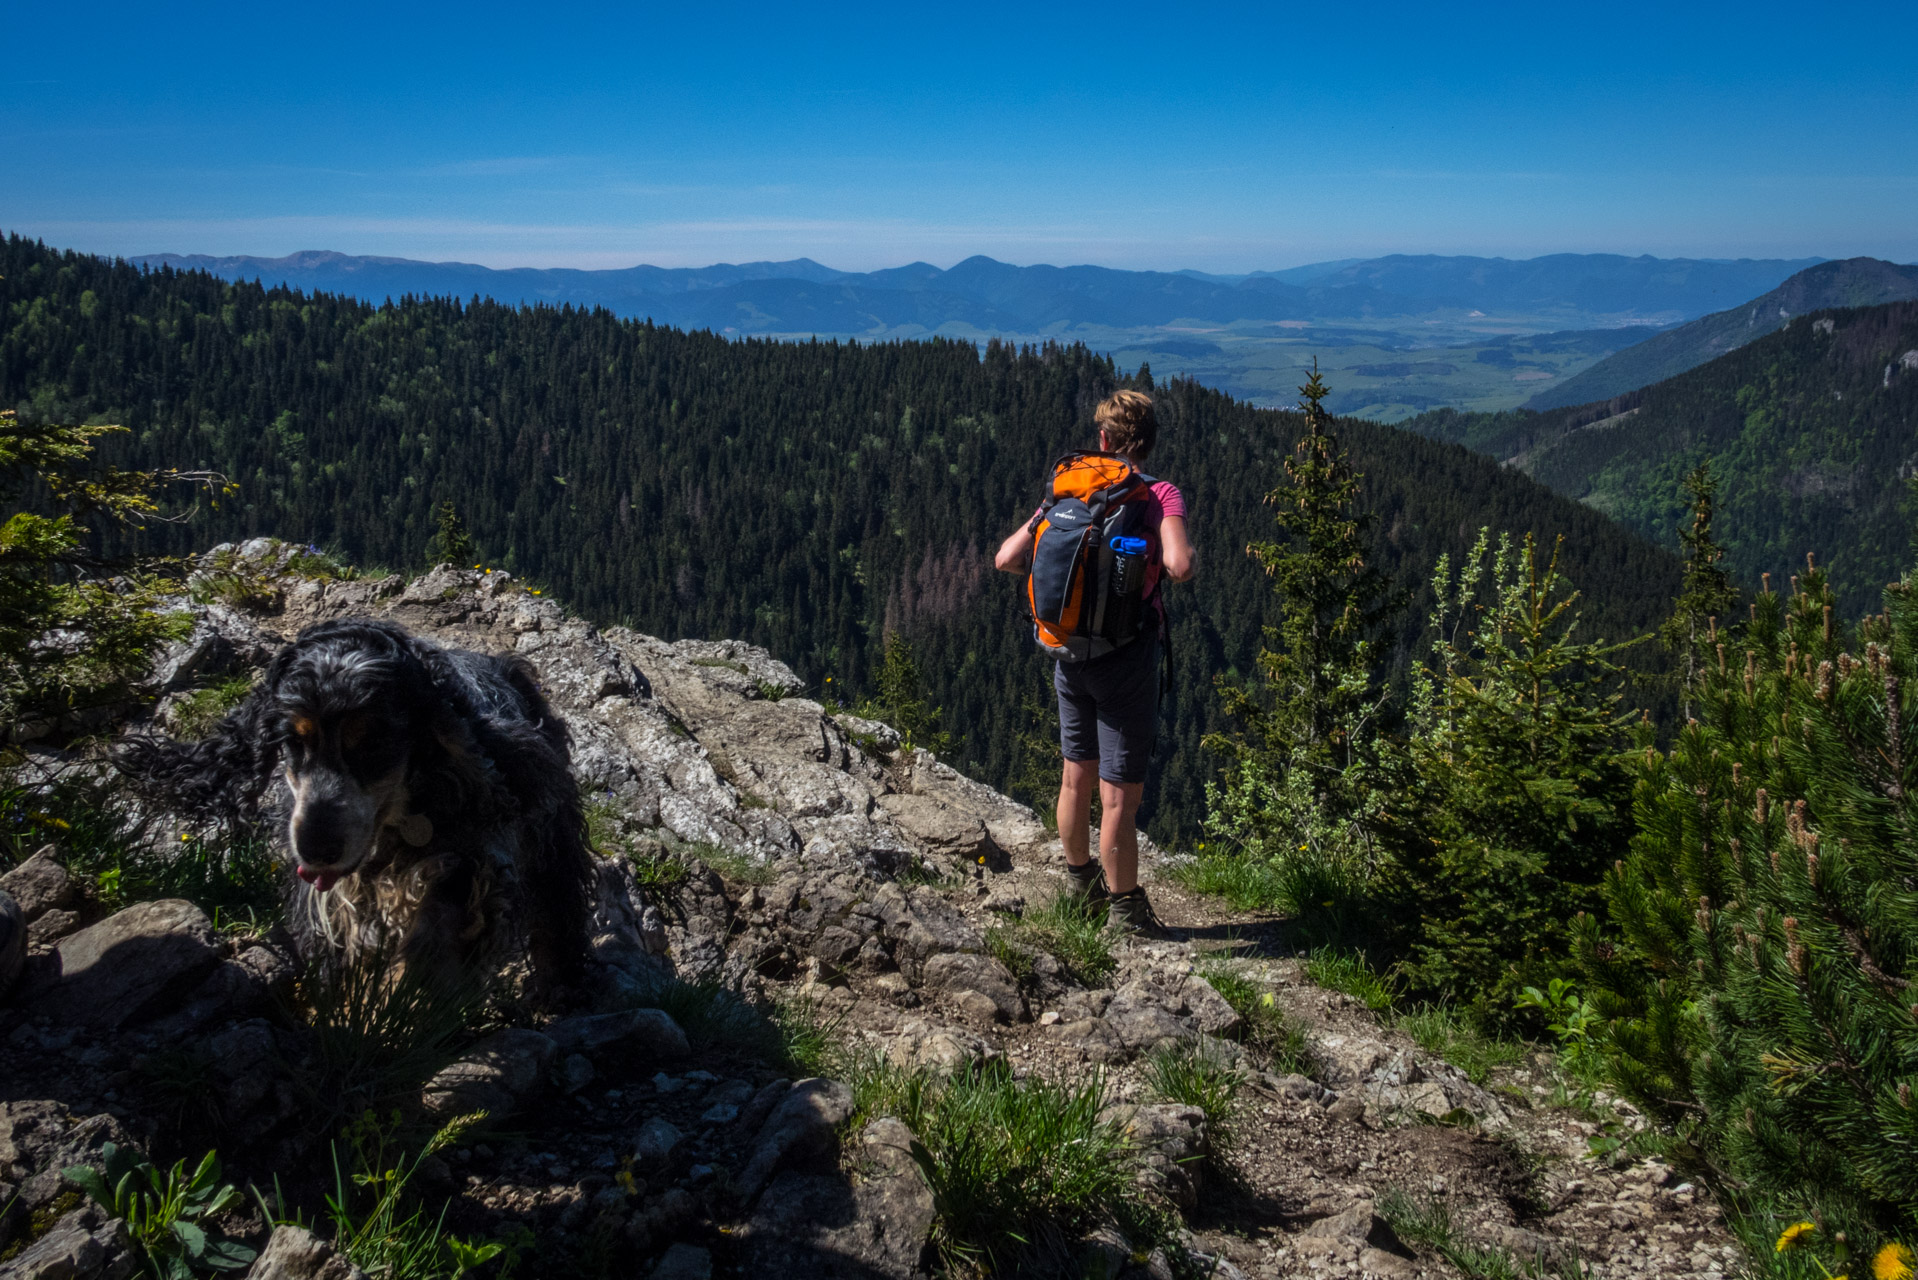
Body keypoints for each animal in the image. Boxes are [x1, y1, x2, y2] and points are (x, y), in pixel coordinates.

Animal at [117, 617, 590, 990]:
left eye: (374, 743)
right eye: (291, 742)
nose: (316, 849)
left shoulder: (478, 849)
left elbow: (443, 912)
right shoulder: (325, 896)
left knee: (556, 905)